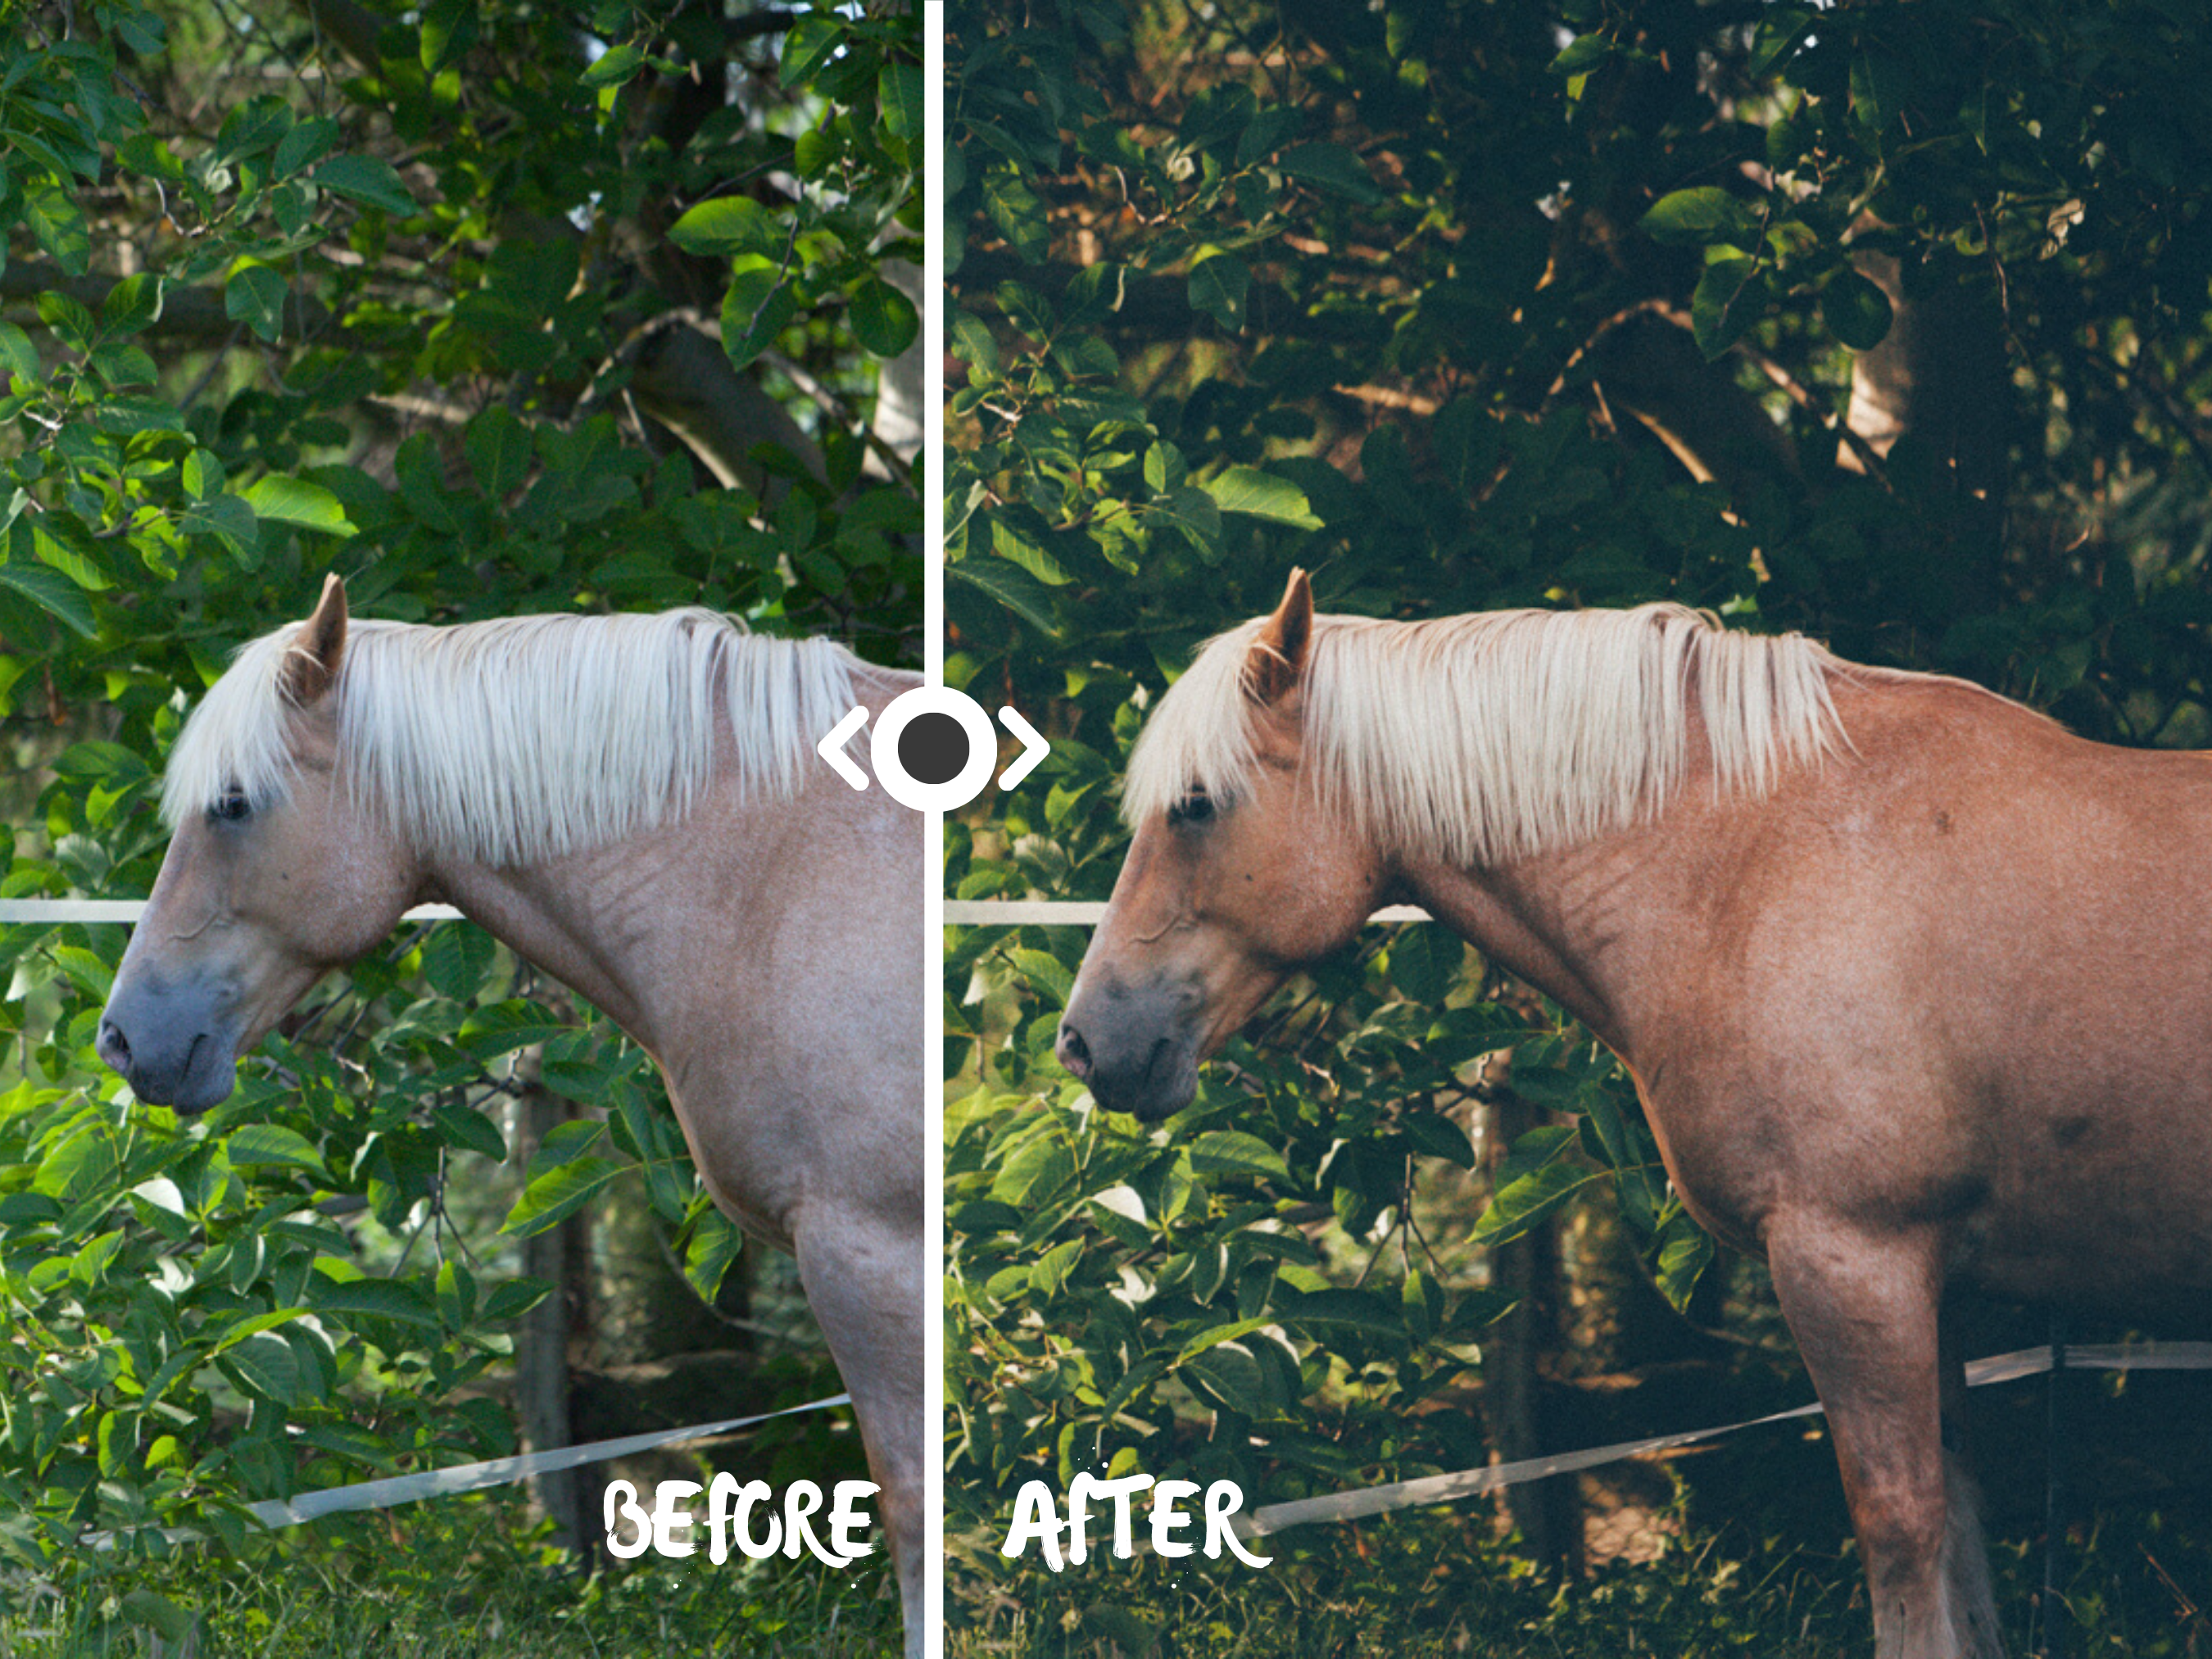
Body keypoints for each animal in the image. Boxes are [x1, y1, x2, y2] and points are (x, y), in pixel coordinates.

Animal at [1056, 567, 2212, 1659]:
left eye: (1195, 804)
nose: (1087, 1041)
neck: (1762, 862)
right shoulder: (1937, 1293)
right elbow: (1961, 1540)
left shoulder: (1855, 1265)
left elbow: (1901, 1527)